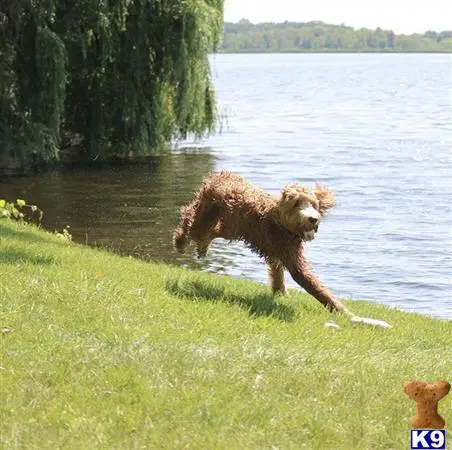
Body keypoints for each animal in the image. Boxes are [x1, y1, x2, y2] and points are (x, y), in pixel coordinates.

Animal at [175, 171, 352, 314]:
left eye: (313, 204)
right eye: (296, 204)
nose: (313, 219)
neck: (279, 222)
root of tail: (220, 175)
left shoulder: (278, 252)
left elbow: (277, 272)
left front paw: (280, 293)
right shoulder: (292, 259)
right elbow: (315, 287)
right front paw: (344, 312)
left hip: (230, 226)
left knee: (208, 231)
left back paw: (202, 247)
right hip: (206, 216)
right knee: (189, 218)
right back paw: (180, 241)